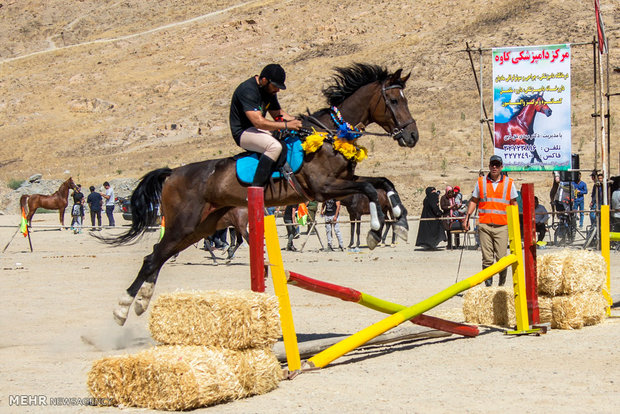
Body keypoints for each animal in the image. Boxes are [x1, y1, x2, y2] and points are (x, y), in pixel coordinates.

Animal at [104, 62, 418, 326]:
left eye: (405, 99)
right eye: (393, 101)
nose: (412, 137)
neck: (332, 135)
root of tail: (172, 173)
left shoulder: (344, 181)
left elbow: (384, 182)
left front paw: (401, 222)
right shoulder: (324, 188)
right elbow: (370, 188)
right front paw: (375, 231)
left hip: (200, 227)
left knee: (158, 255)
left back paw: (141, 302)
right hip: (184, 223)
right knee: (153, 257)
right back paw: (122, 308)